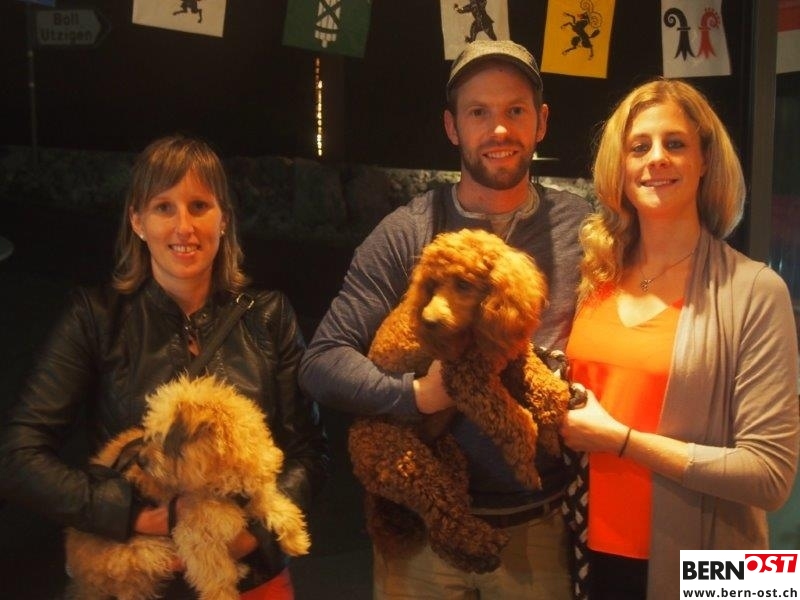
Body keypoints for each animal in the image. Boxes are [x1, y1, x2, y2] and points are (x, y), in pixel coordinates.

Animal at [65, 374, 309, 600]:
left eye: (162, 438)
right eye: (150, 435)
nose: (140, 461)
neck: (221, 483)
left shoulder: (254, 493)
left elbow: (280, 506)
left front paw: (297, 540)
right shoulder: (195, 534)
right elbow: (218, 576)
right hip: (145, 550)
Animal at [348, 228, 577, 573]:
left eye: (464, 284)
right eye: (431, 285)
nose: (428, 321)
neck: (478, 326)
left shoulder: (511, 357)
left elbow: (547, 390)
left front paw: (551, 432)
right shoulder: (468, 379)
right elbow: (517, 424)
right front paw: (526, 465)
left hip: (447, 458)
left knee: (442, 524)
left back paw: (476, 557)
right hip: (406, 463)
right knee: (446, 514)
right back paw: (485, 542)